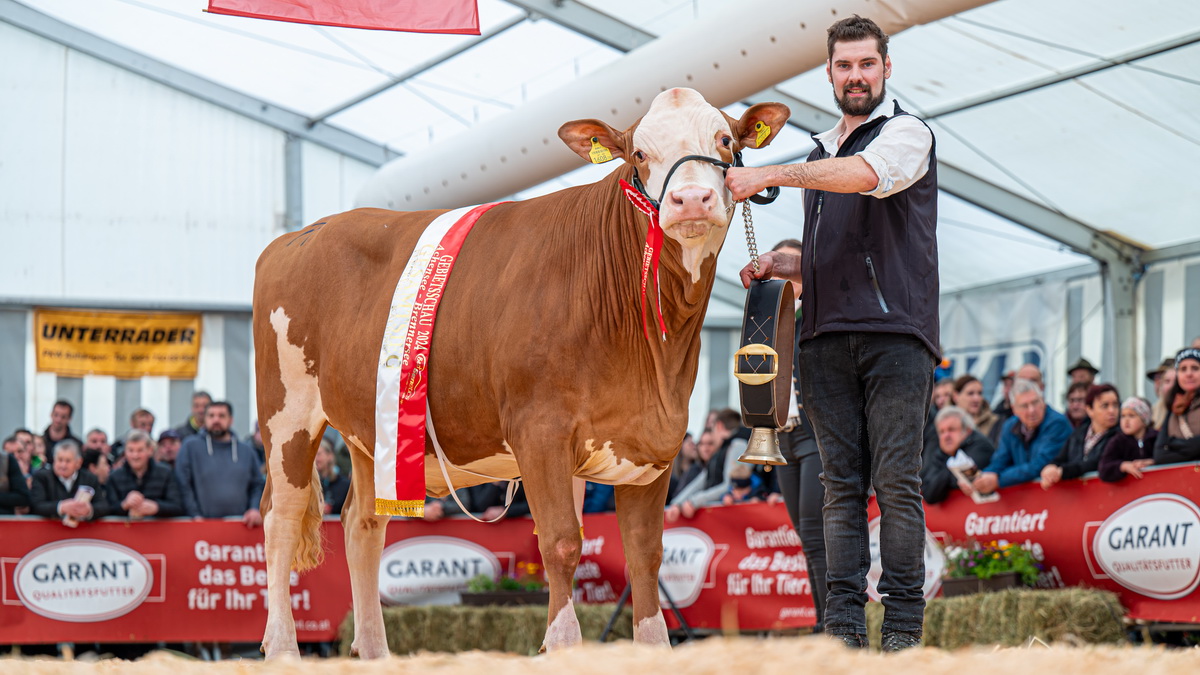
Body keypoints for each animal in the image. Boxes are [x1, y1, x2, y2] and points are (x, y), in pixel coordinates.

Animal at [253, 86, 787, 653]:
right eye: (639, 154)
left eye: (725, 140)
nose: (691, 200)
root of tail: (302, 234)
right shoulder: (540, 432)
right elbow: (561, 543)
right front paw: (562, 645)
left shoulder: (653, 443)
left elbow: (646, 555)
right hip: (287, 415)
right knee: (281, 518)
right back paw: (283, 647)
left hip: (372, 434)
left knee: (362, 523)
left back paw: (375, 652)